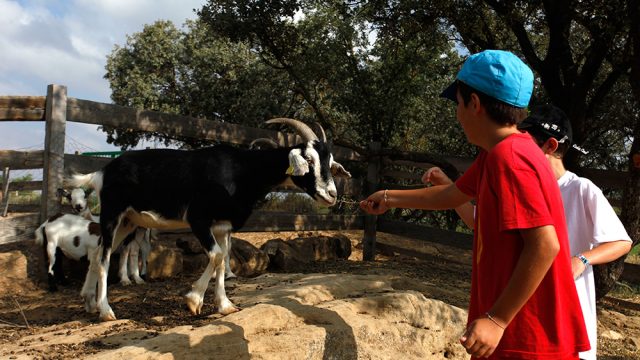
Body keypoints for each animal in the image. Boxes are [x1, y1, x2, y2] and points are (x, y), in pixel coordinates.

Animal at [67, 118, 352, 320]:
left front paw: (225, 305)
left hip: (128, 221)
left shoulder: (222, 226)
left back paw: (89, 302)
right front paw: (194, 300)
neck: (241, 171)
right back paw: (106, 311)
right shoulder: (198, 218)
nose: (331, 194)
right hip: (112, 214)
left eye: (330, 162)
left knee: (97, 254)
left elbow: (223, 259)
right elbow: (215, 256)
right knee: (104, 258)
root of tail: (102, 171)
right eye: (308, 159)